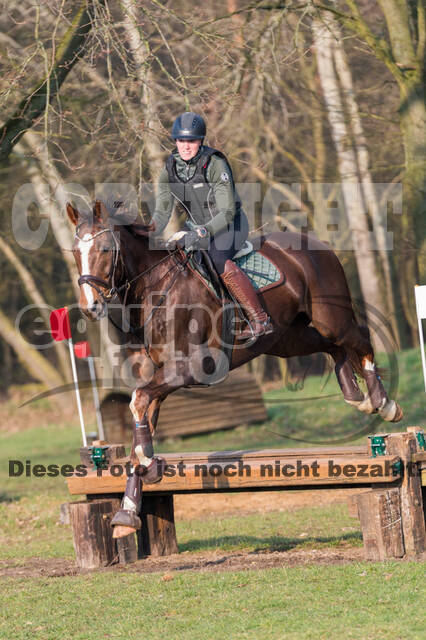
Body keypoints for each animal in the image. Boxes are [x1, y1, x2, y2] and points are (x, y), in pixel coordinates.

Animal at [66, 202, 402, 536]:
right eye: (75, 252)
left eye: (106, 249)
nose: (90, 307)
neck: (157, 290)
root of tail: (318, 245)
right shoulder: (159, 379)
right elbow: (140, 418)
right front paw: (128, 508)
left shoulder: (190, 368)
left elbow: (137, 400)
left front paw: (148, 464)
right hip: (288, 338)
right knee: (333, 346)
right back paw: (355, 395)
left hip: (331, 318)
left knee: (360, 336)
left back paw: (383, 403)